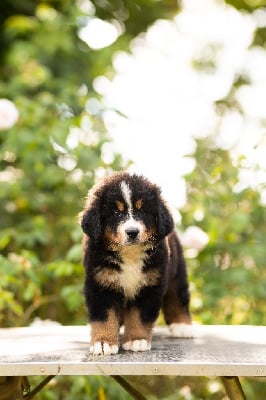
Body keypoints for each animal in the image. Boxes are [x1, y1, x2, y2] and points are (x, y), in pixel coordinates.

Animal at [79, 173, 191, 354]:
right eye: (116, 212)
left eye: (142, 210)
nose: (132, 232)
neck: (130, 254)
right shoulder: (101, 283)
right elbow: (104, 317)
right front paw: (103, 342)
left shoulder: (150, 284)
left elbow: (139, 316)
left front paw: (136, 340)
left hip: (176, 272)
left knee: (178, 297)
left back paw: (182, 326)